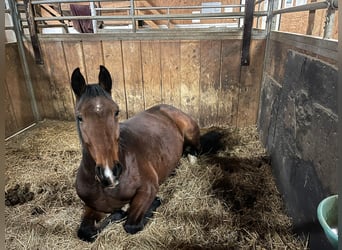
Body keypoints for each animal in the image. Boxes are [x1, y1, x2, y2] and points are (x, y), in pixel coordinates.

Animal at [71, 65, 202, 241]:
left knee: (194, 151)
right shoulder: (92, 205)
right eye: (80, 117)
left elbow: (131, 225)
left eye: (116, 112)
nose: (109, 173)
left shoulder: (147, 189)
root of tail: (167, 107)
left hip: (190, 132)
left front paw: (147, 204)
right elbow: (85, 232)